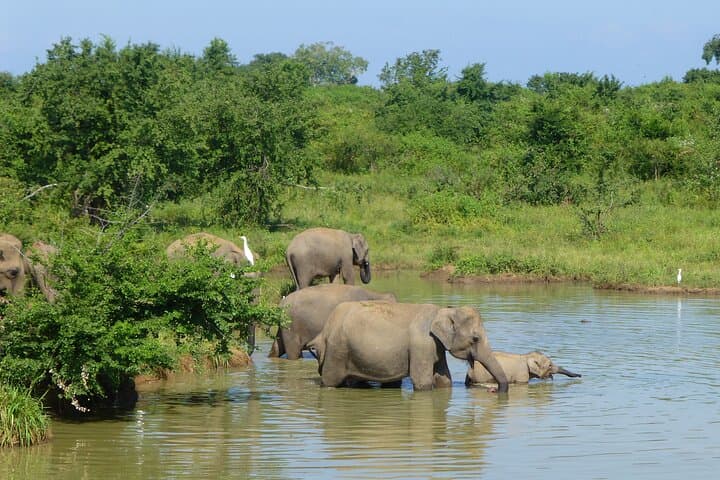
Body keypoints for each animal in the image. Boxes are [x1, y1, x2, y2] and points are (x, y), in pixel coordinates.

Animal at [268, 284, 397, 360]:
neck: (375, 293)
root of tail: (281, 304)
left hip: (284, 327)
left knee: (277, 347)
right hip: (291, 327)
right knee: (293, 352)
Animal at [307, 302, 509, 392]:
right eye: (475, 338)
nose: (494, 390)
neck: (443, 310)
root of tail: (325, 329)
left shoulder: (436, 347)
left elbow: (444, 379)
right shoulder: (422, 345)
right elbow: (423, 383)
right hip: (337, 351)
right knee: (330, 382)